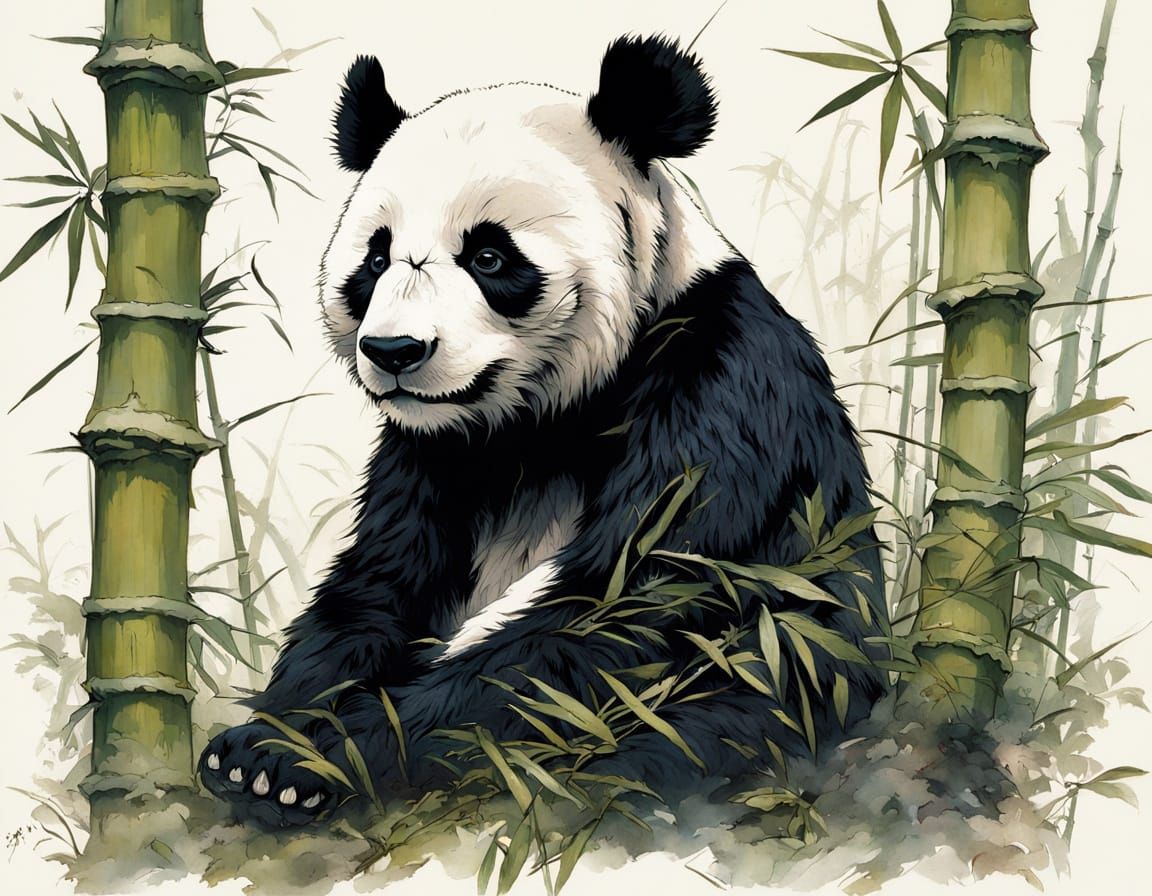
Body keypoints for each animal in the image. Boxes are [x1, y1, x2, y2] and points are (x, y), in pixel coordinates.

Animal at [199, 35, 887, 827]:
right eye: (374, 259)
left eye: (489, 256)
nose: (394, 352)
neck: (541, 419)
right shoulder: (432, 452)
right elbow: (378, 584)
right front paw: (268, 739)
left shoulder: (719, 390)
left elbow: (617, 610)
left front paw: (315, 754)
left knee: (713, 709)